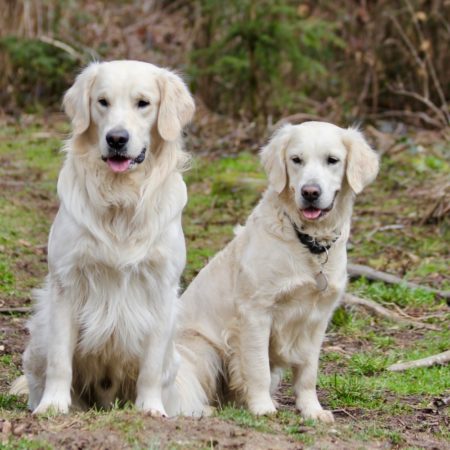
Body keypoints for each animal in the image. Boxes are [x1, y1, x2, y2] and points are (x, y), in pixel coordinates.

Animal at [13, 59, 193, 414]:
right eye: (102, 102)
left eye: (143, 103)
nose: (116, 138)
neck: (121, 199)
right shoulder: (67, 282)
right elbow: (60, 360)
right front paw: (53, 406)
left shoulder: (162, 286)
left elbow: (150, 367)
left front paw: (151, 408)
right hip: (39, 336)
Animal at [176, 120, 380, 422]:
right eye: (296, 160)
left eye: (332, 160)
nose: (310, 192)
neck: (309, 242)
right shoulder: (256, 312)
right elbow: (258, 367)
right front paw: (262, 407)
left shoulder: (318, 317)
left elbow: (308, 372)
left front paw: (312, 410)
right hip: (203, 348)